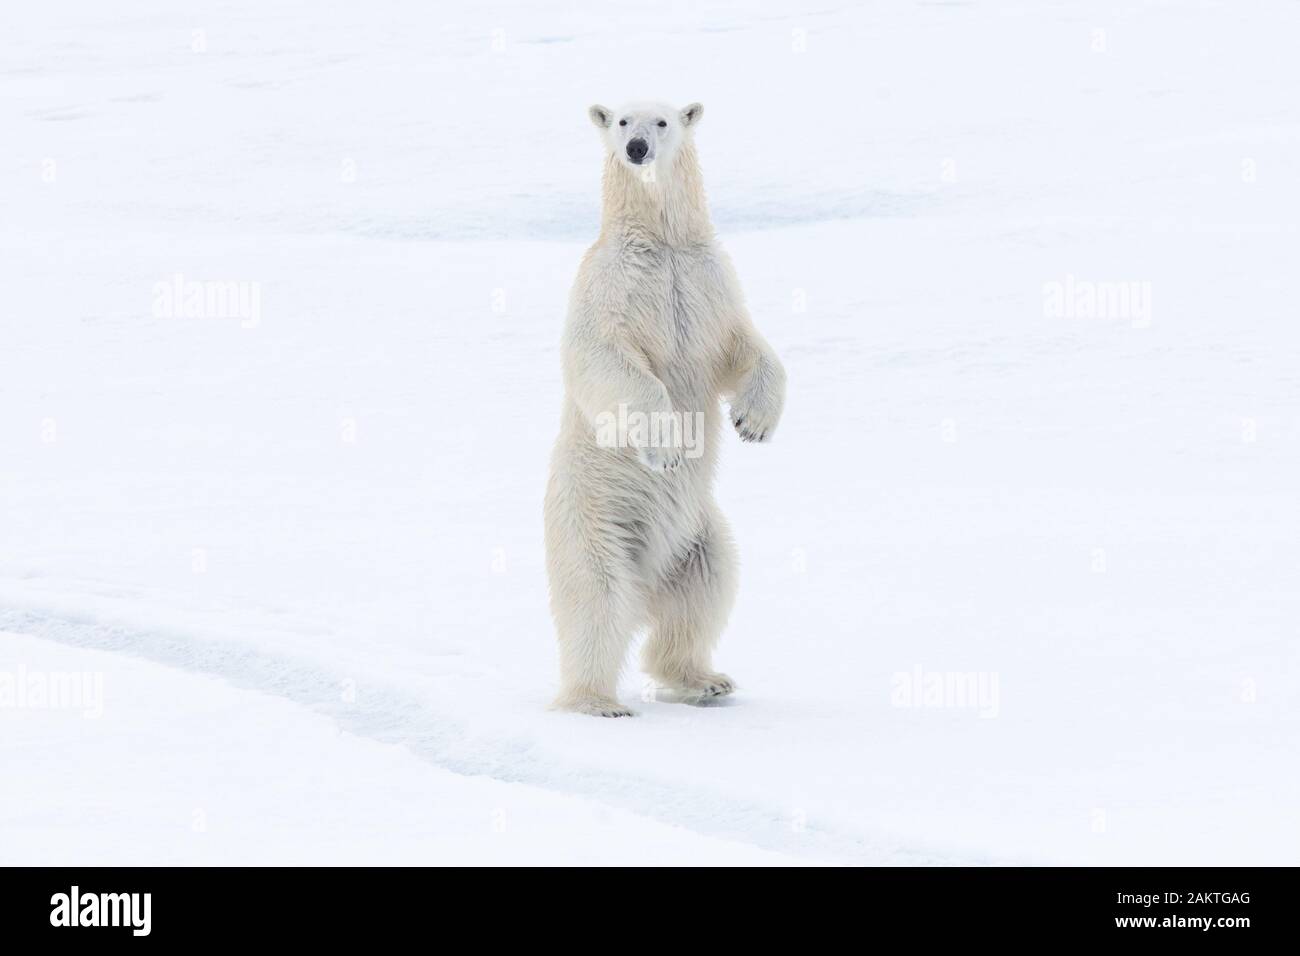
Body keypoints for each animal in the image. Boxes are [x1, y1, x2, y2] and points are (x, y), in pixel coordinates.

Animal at [544, 100, 787, 717]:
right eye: (620, 121)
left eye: (661, 121)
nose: (637, 150)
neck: (662, 241)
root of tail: (649, 571)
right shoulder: (608, 284)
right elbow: (605, 356)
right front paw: (669, 447)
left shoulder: (707, 281)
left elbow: (744, 346)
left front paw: (754, 421)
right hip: (594, 517)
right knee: (598, 597)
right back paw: (596, 700)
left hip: (697, 533)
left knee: (705, 587)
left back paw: (704, 679)